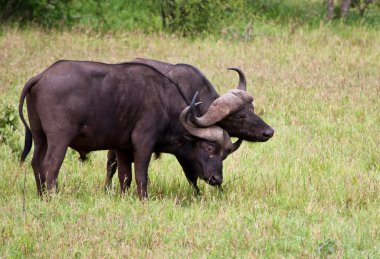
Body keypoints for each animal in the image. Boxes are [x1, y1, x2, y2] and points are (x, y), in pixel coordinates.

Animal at [105, 59, 274, 193]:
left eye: (252, 109)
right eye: (239, 116)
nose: (269, 132)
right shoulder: (183, 149)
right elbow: (191, 174)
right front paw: (197, 194)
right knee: (111, 163)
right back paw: (107, 188)